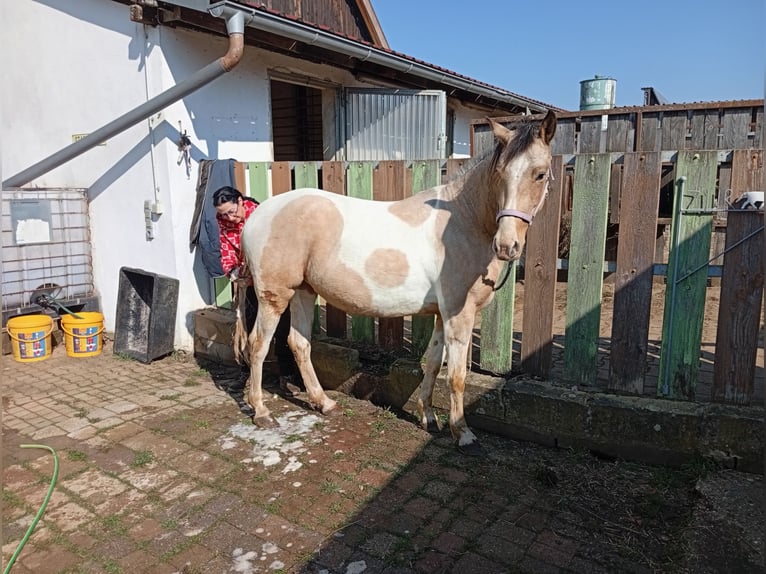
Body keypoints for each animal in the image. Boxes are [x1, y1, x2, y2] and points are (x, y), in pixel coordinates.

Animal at [235, 110, 557, 455]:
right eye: (500, 173)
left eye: (539, 174)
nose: (507, 245)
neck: (463, 222)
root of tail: (256, 216)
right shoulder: (459, 314)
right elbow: (456, 376)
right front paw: (463, 433)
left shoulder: (442, 315)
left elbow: (432, 364)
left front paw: (429, 417)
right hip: (274, 296)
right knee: (258, 344)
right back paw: (261, 412)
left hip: (303, 292)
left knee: (299, 343)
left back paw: (324, 403)